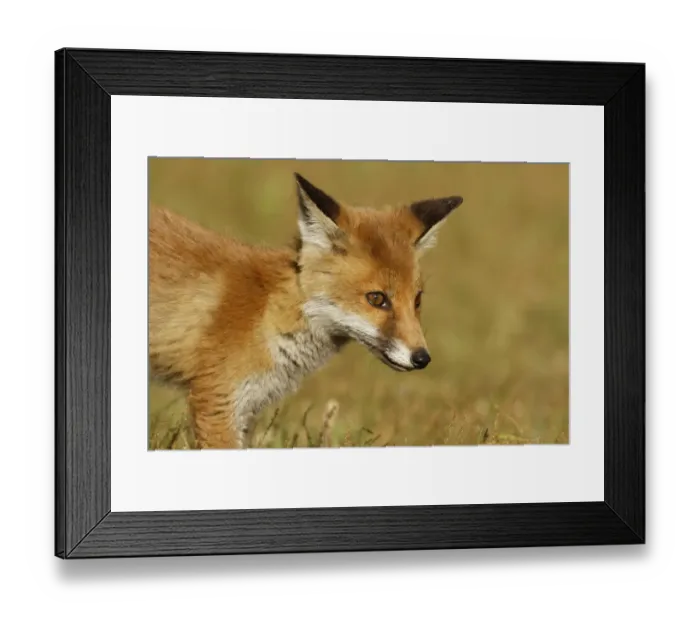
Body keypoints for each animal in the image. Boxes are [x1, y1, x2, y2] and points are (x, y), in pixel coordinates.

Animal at [148, 173, 462, 449]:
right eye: (377, 298)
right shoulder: (217, 401)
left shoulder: (246, 410)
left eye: (417, 300)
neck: (266, 313)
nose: (422, 358)